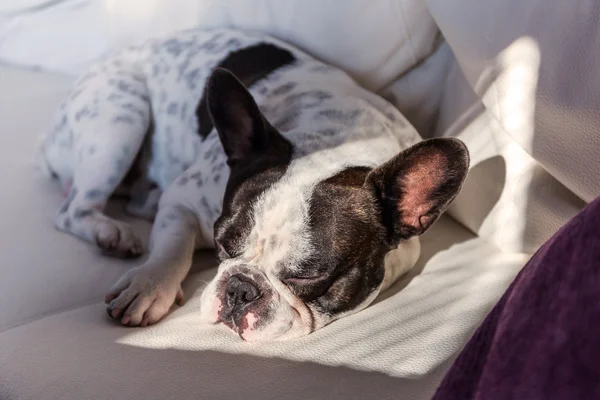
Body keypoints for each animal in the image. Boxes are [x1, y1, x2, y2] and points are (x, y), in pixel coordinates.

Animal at [37, 28, 468, 340]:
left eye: (307, 276)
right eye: (224, 243)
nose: (239, 289)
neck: (336, 137)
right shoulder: (184, 199)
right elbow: (172, 247)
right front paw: (149, 285)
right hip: (121, 114)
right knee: (71, 210)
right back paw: (111, 233)